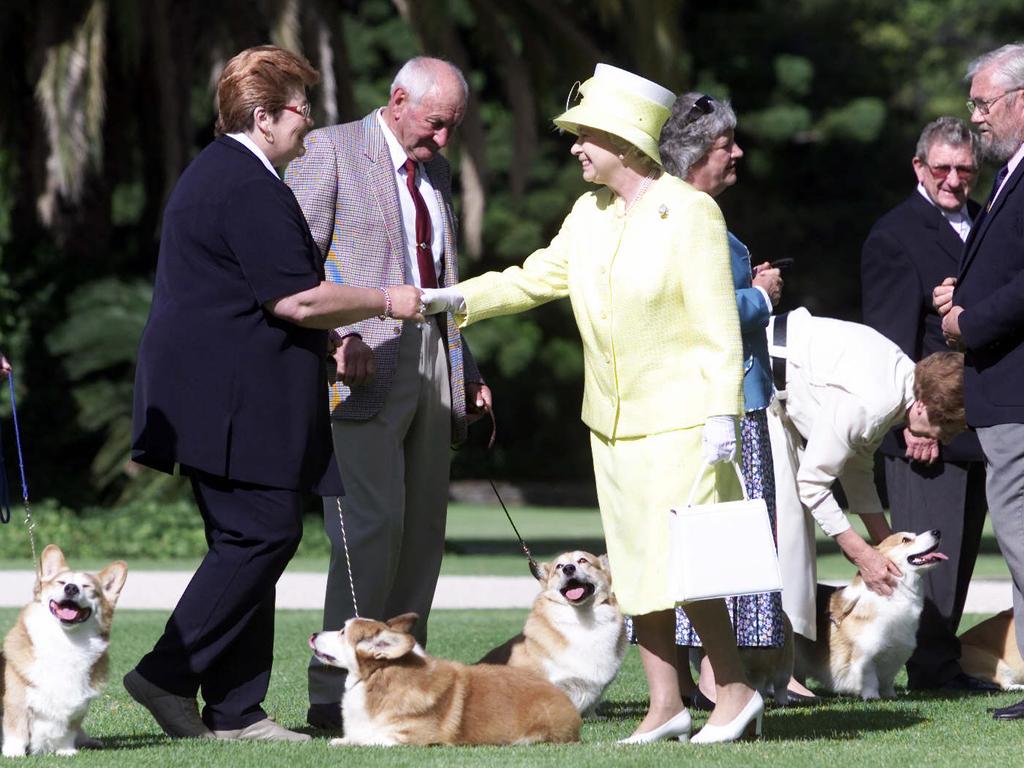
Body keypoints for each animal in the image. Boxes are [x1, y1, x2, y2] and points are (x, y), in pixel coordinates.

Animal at [1, 548, 128, 757]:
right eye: (61, 582)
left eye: (86, 586)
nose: (71, 588)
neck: (67, 641)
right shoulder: (17, 701)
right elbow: (16, 730)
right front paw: (14, 754)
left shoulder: (76, 708)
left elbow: (68, 730)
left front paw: (66, 751)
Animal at [307, 614, 581, 745]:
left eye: (342, 632)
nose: (313, 633)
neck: (376, 678)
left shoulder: (410, 737)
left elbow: (369, 739)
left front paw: (345, 742)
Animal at [794, 532, 946, 700]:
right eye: (906, 539)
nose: (937, 532)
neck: (894, 596)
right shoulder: (864, 658)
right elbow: (870, 679)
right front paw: (873, 697)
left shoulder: (894, 656)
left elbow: (887, 681)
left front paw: (891, 696)